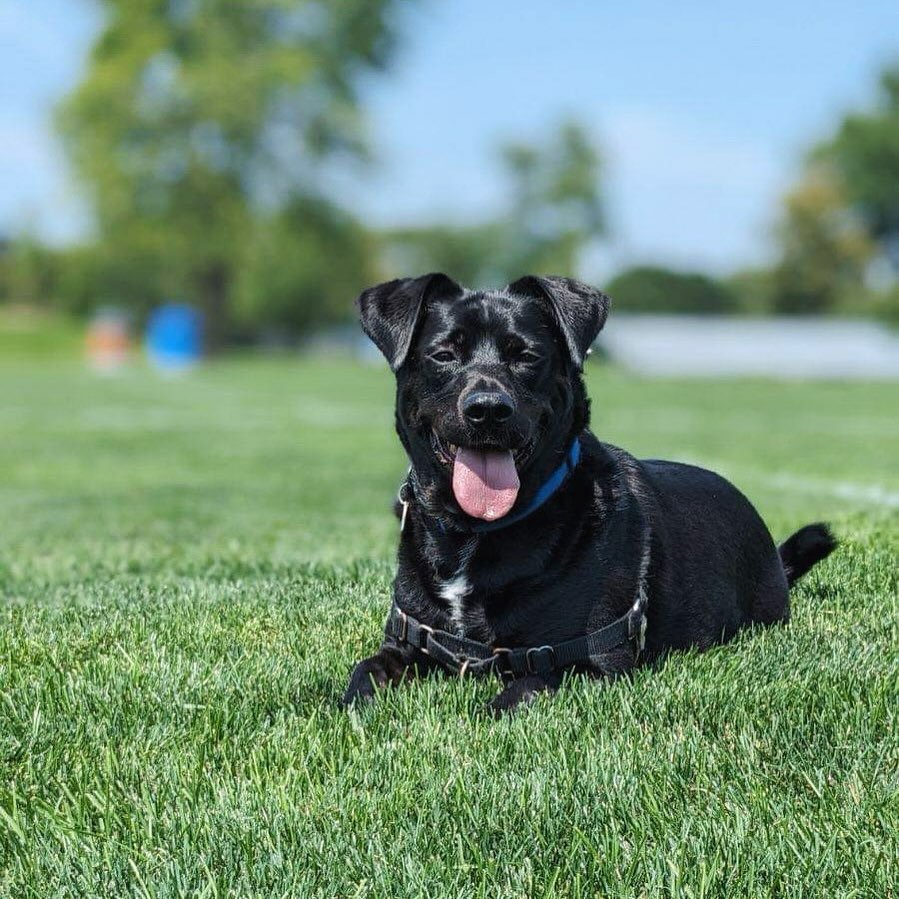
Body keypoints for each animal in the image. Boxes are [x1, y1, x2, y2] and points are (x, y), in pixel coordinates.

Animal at [342, 274, 836, 716]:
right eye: (444, 354)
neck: (476, 533)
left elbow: (521, 692)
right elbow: (364, 676)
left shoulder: (590, 661)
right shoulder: (409, 642)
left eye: (527, 355)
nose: (488, 409)